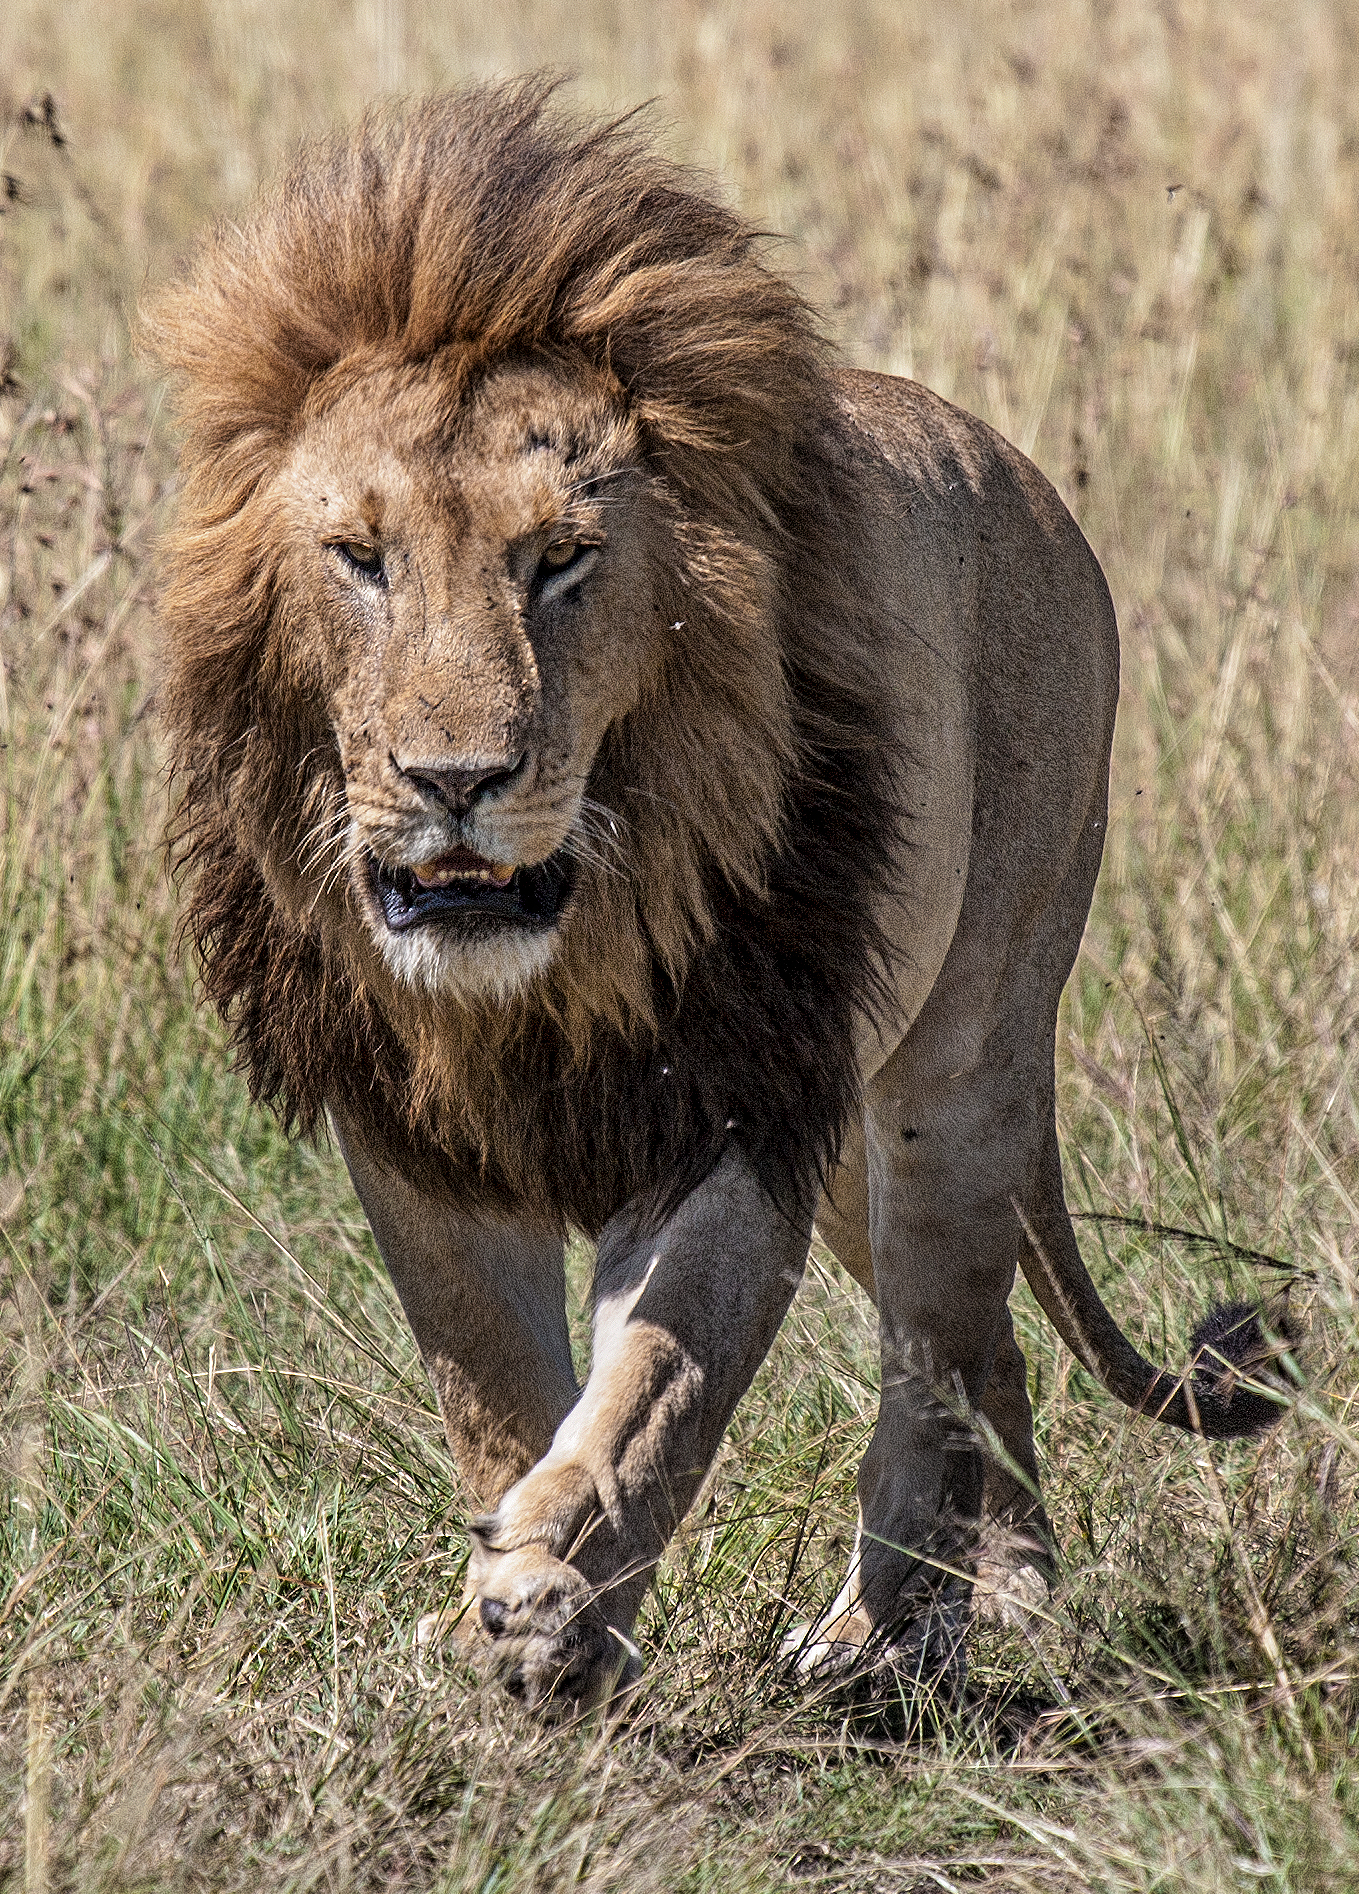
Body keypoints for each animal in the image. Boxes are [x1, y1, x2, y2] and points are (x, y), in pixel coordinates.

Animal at [148, 81, 1286, 1714]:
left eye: (561, 559)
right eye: (359, 558)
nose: (454, 778)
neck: (548, 965)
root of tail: (1023, 481)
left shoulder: (736, 1096)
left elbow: (661, 1380)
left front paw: (557, 1587)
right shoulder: (414, 1137)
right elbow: (495, 1386)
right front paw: (518, 1608)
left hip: (956, 1065)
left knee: (935, 1353)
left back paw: (900, 1628)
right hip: (854, 1133)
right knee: (983, 1345)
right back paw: (981, 1591)